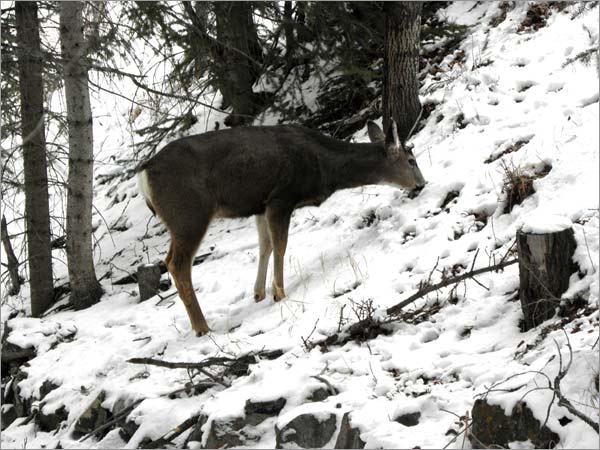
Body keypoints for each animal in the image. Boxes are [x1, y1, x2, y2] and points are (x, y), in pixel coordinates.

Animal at [137, 118, 426, 336]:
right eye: (411, 160)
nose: (422, 184)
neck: (324, 165)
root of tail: (144, 172)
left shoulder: (261, 205)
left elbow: (264, 245)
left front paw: (258, 293)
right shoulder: (282, 197)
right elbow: (281, 246)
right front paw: (279, 293)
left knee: (171, 261)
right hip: (189, 214)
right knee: (177, 264)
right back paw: (202, 327)